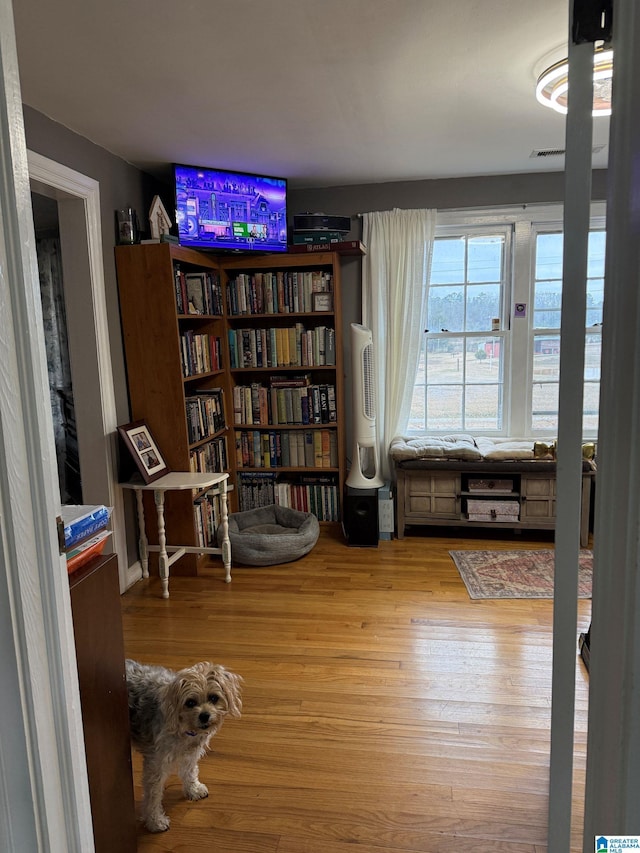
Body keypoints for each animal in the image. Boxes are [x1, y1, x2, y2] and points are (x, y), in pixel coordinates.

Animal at [125, 660, 242, 832]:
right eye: (190, 702)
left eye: (213, 698)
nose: (204, 715)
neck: (185, 729)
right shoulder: (156, 765)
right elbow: (153, 795)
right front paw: (155, 821)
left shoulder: (190, 755)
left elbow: (190, 772)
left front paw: (193, 790)